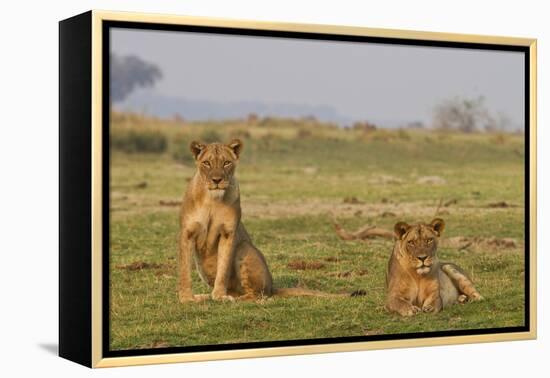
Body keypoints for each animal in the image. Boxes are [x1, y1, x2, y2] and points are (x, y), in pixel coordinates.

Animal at [179, 138, 356, 302]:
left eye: (226, 163)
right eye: (206, 163)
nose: (217, 180)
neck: (212, 200)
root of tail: (273, 286)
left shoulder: (228, 234)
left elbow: (223, 269)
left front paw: (219, 296)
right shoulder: (187, 233)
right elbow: (185, 269)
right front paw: (187, 298)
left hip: (244, 248)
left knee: (258, 294)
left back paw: (232, 299)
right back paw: (204, 296)